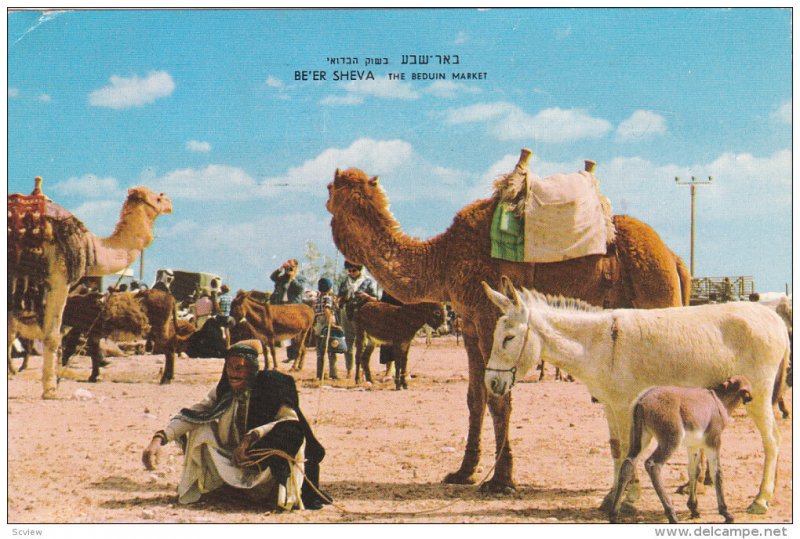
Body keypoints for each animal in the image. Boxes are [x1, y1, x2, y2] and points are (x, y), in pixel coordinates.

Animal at [7, 179, 170, 398]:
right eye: (158, 198)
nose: (170, 203)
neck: (91, 247)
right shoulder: (59, 279)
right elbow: (52, 336)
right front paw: (50, 389)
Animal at [328, 152, 692, 498]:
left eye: (329, 190)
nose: (348, 264)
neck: (443, 258)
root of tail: (673, 257)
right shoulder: (470, 323)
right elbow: (474, 397)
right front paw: (463, 472)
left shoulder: (491, 317)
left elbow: (497, 398)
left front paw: (501, 481)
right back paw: (685, 485)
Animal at [608, 376, 752, 524]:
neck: (719, 400)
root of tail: (643, 399)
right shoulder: (714, 443)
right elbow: (717, 473)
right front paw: (725, 512)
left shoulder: (693, 446)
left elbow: (694, 471)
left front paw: (694, 509)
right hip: (671, 441)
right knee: (653, 465)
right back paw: (671, 514)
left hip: (642, 440)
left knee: (628, 464)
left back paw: (613, 514)